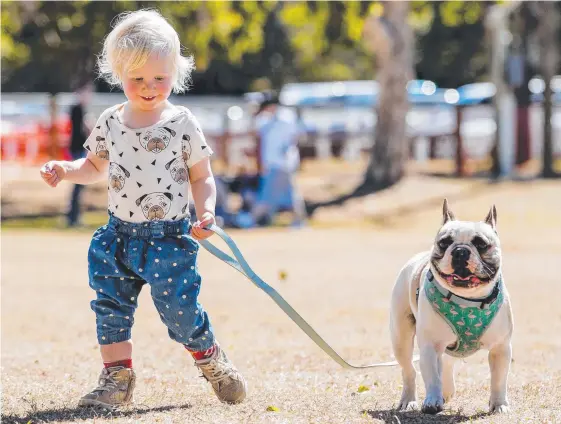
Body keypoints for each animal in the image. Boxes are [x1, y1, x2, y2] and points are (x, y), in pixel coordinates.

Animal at [390, 199, 512, 414]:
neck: (467, 300)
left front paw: (499, 405)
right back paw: (410, 400)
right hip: (400, 338)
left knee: (446, 363)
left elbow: (499, 380)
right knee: (409, 370)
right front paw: (432, 401)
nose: (460, 250)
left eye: (481, 244)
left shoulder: (501, 348)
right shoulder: (430, 346)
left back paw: (446, 391)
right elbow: (431, 376)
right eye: (444, 242)